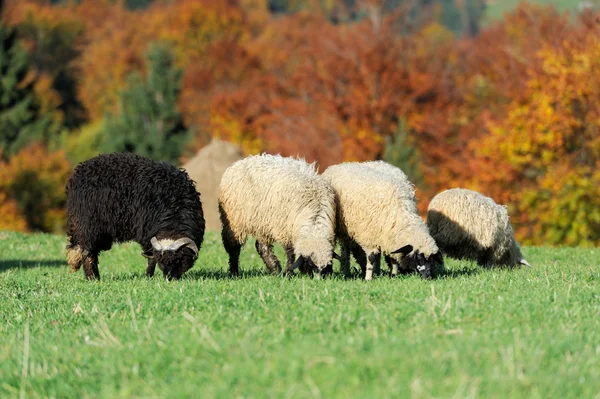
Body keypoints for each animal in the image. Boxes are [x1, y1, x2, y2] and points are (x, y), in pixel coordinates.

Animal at [65, 153, 205, 282]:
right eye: (162, 261)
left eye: (178, 259)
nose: (169, 279)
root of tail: (78, 172)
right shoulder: (146, 234)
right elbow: (150, 261)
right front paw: (148, 277)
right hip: (88, 226)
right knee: (87, 253)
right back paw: (92, 278)